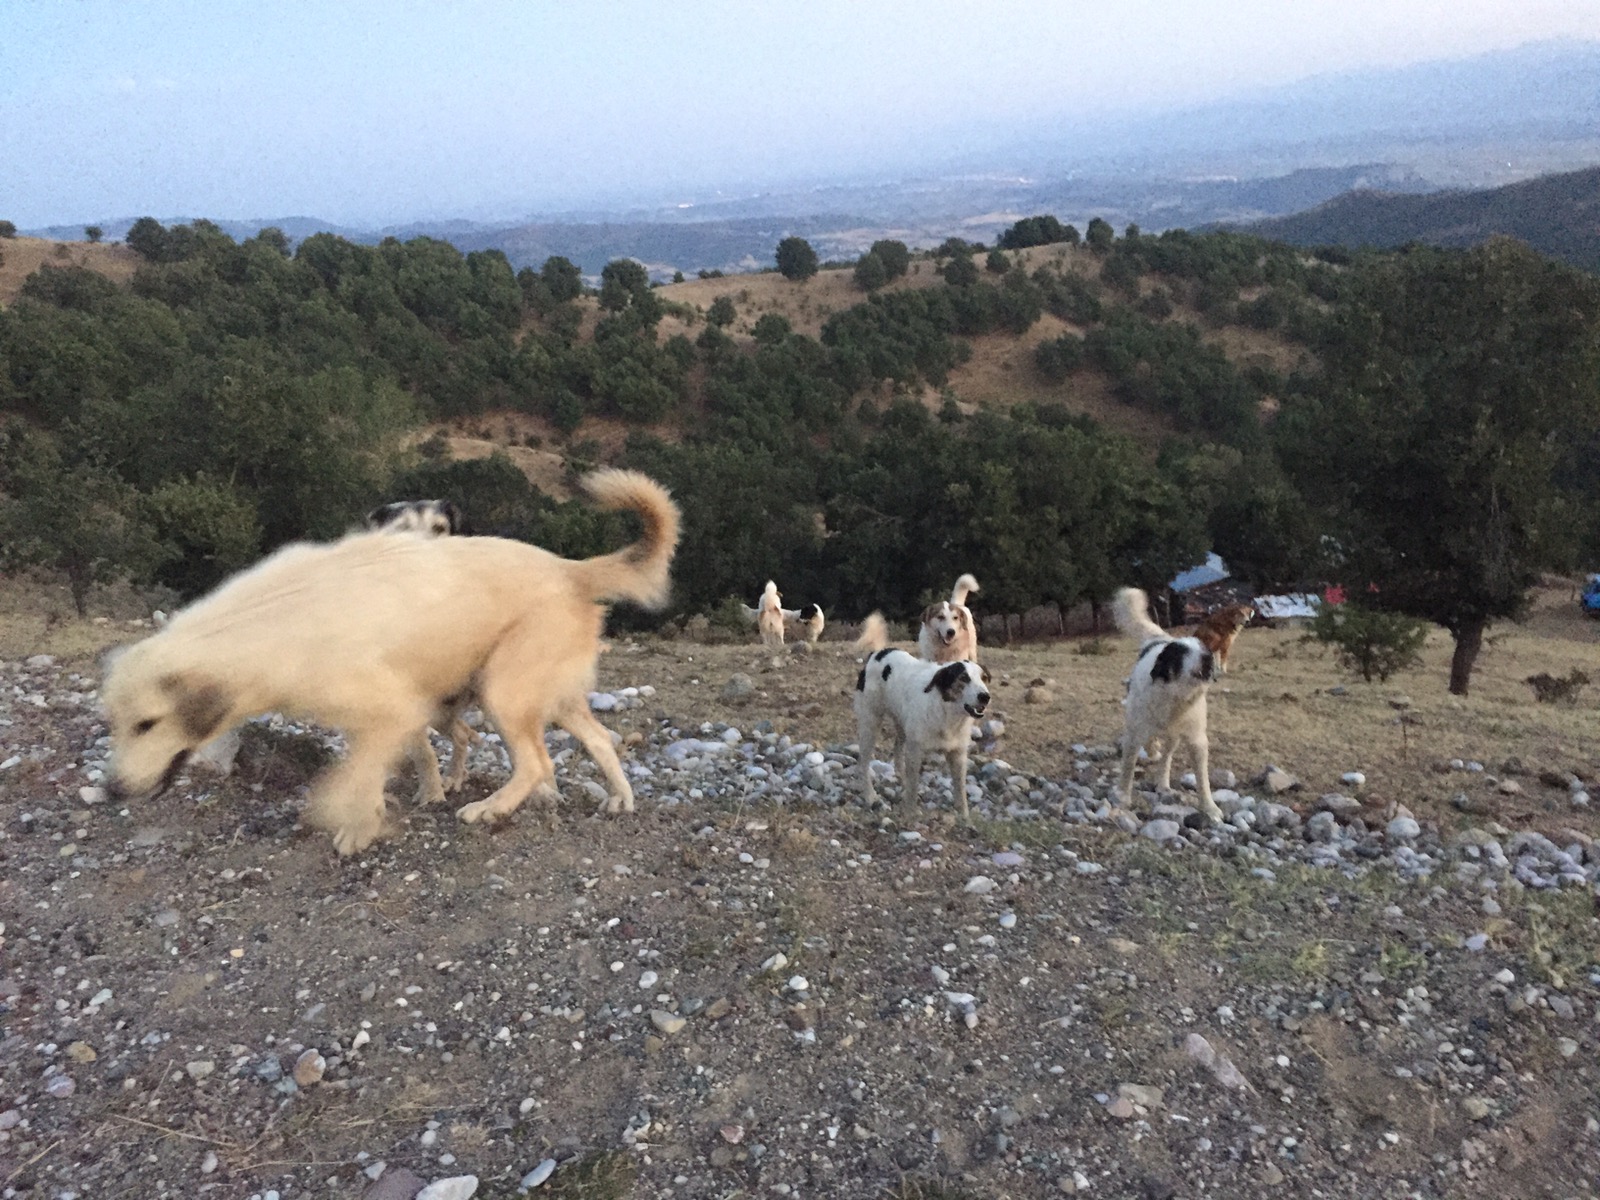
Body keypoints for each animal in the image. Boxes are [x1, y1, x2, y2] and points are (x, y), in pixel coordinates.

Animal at [102, 469, 680, 855]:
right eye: (116, 724)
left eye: (146, 724)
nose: (112, 791)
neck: (266, 625)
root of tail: (569, 569)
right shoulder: (376, 718)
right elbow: (379, 766)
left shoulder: (395, 710)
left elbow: (353, 781)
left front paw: (356, 826)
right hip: (544, 696)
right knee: (598, 740)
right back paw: (619, 800)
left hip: (503, 691)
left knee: (538, 763)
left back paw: (490, 808)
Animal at [854, 612, 989, 818]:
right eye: (964, 678)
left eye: (983, 678)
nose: (985, 697)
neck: (946, 714)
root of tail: (876, 654)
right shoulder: (915, 751)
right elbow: (914, 784)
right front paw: (910, 812)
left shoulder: (958, 755)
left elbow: (960, 788)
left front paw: (964, 816)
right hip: (871, 722)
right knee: (864, 761)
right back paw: (870, 795)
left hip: (902, 725)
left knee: (897, 749)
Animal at [1112, 586, 1222, 824]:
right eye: (1181, 653)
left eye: (1203, 647)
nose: (1209, 656)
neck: (1175, 697)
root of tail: (1160, 638)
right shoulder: (1133, 733)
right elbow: (1128, 767)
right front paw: (1123, 797)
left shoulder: (1197, 740)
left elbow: (1203, 778)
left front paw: (1209, 808)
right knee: (1152, 744)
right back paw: (1152, 748)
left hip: (1174, 737)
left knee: (1166, 758)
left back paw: (1162, 782)